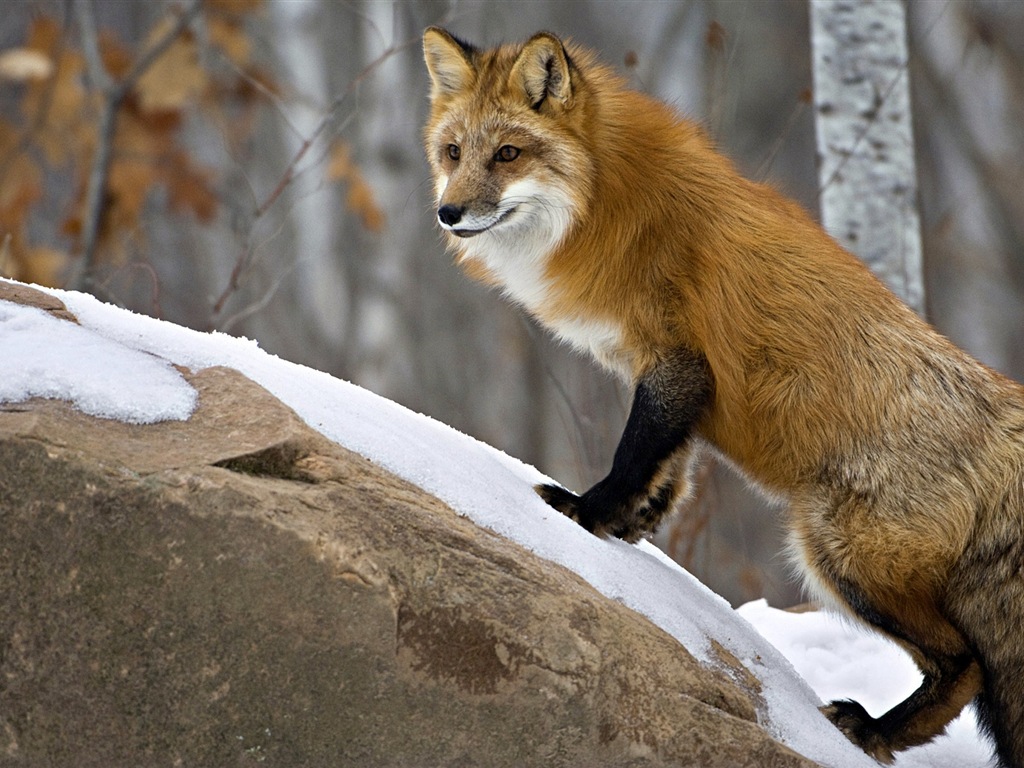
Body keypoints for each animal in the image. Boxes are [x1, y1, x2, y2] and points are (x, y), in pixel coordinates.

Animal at [421, 27, 1024, 765]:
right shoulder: (673, 381)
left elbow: (631, 457)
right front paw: (631, 525)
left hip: (839, 554)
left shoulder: (677, 362)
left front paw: (583, 513)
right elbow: (668, 468)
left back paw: (876, 731)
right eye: (454, 152)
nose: (448, 212)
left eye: (507, 153)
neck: (609, 203)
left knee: (963, 663)